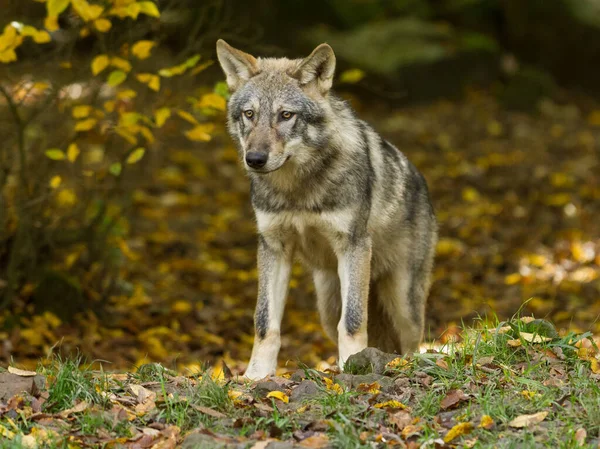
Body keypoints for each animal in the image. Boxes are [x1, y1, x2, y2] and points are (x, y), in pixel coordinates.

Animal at [216, 38, 436, 378]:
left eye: (286, 115)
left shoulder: (353, 246)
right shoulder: (273, 247)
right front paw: (255, 376)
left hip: (403, 302)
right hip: (327, 305)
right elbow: (265, 322)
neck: (297, 190)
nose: (254, 159)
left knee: (412, 342)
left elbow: (354, 321)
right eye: (250, 114)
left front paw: (351, 369)